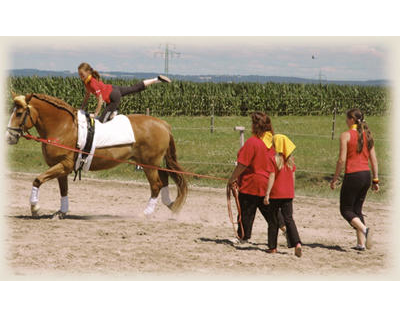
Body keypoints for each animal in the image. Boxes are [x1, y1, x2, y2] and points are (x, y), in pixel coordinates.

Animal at [5, 92, 188, 218]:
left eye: (19, 113)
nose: (9, 137)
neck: (62, 127)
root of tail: (163, 124)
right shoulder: (61, 168)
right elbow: (63, 190)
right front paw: (61, 212)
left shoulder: (64, 165)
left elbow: (37, 180)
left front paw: (35, 208)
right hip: (151, 163)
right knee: (164, 178)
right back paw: (171, 204)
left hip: (148, 164)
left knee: (156, 185)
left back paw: (146, 213)